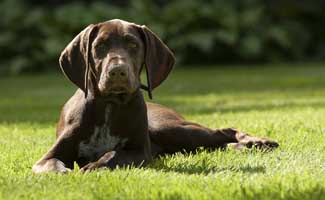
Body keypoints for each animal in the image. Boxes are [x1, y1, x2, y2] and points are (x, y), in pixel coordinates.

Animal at [31, 19, 278, 173]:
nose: (117, 71)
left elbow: (113, 154)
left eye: (133, 44)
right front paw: (65, 172)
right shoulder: (46, 158)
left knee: (223, 131)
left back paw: (256, 141)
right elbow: (51, 165)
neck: (109, 105)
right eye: (99, 46)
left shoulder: (139, 151)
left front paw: (93, 166)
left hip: (169, 128)